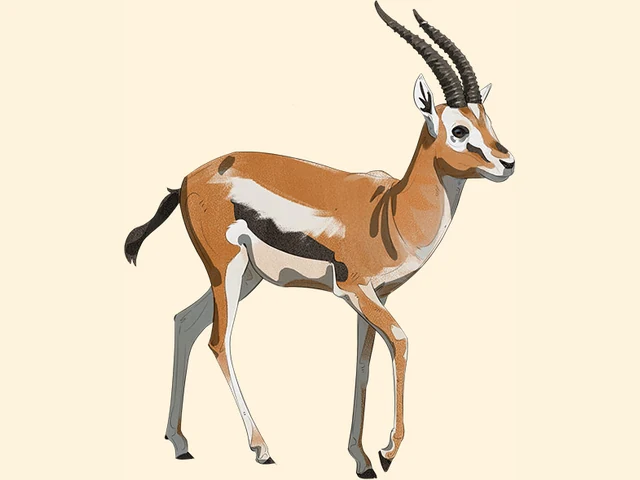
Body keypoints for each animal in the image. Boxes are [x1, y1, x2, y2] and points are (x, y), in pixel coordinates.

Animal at [125, 3, 514, 478]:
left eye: (486, 120)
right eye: (459, 129)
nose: (508, 162)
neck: (389, 212)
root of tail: (185, 181)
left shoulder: (375, 297)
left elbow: (363, 364)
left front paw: (361, 459)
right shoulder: (356, 290)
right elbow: (401, 342)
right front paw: (387, 452)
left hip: (246, 276)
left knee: (184, 321)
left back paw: (180, 443)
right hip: (227, 269)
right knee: (219, 340)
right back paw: (262, 448)